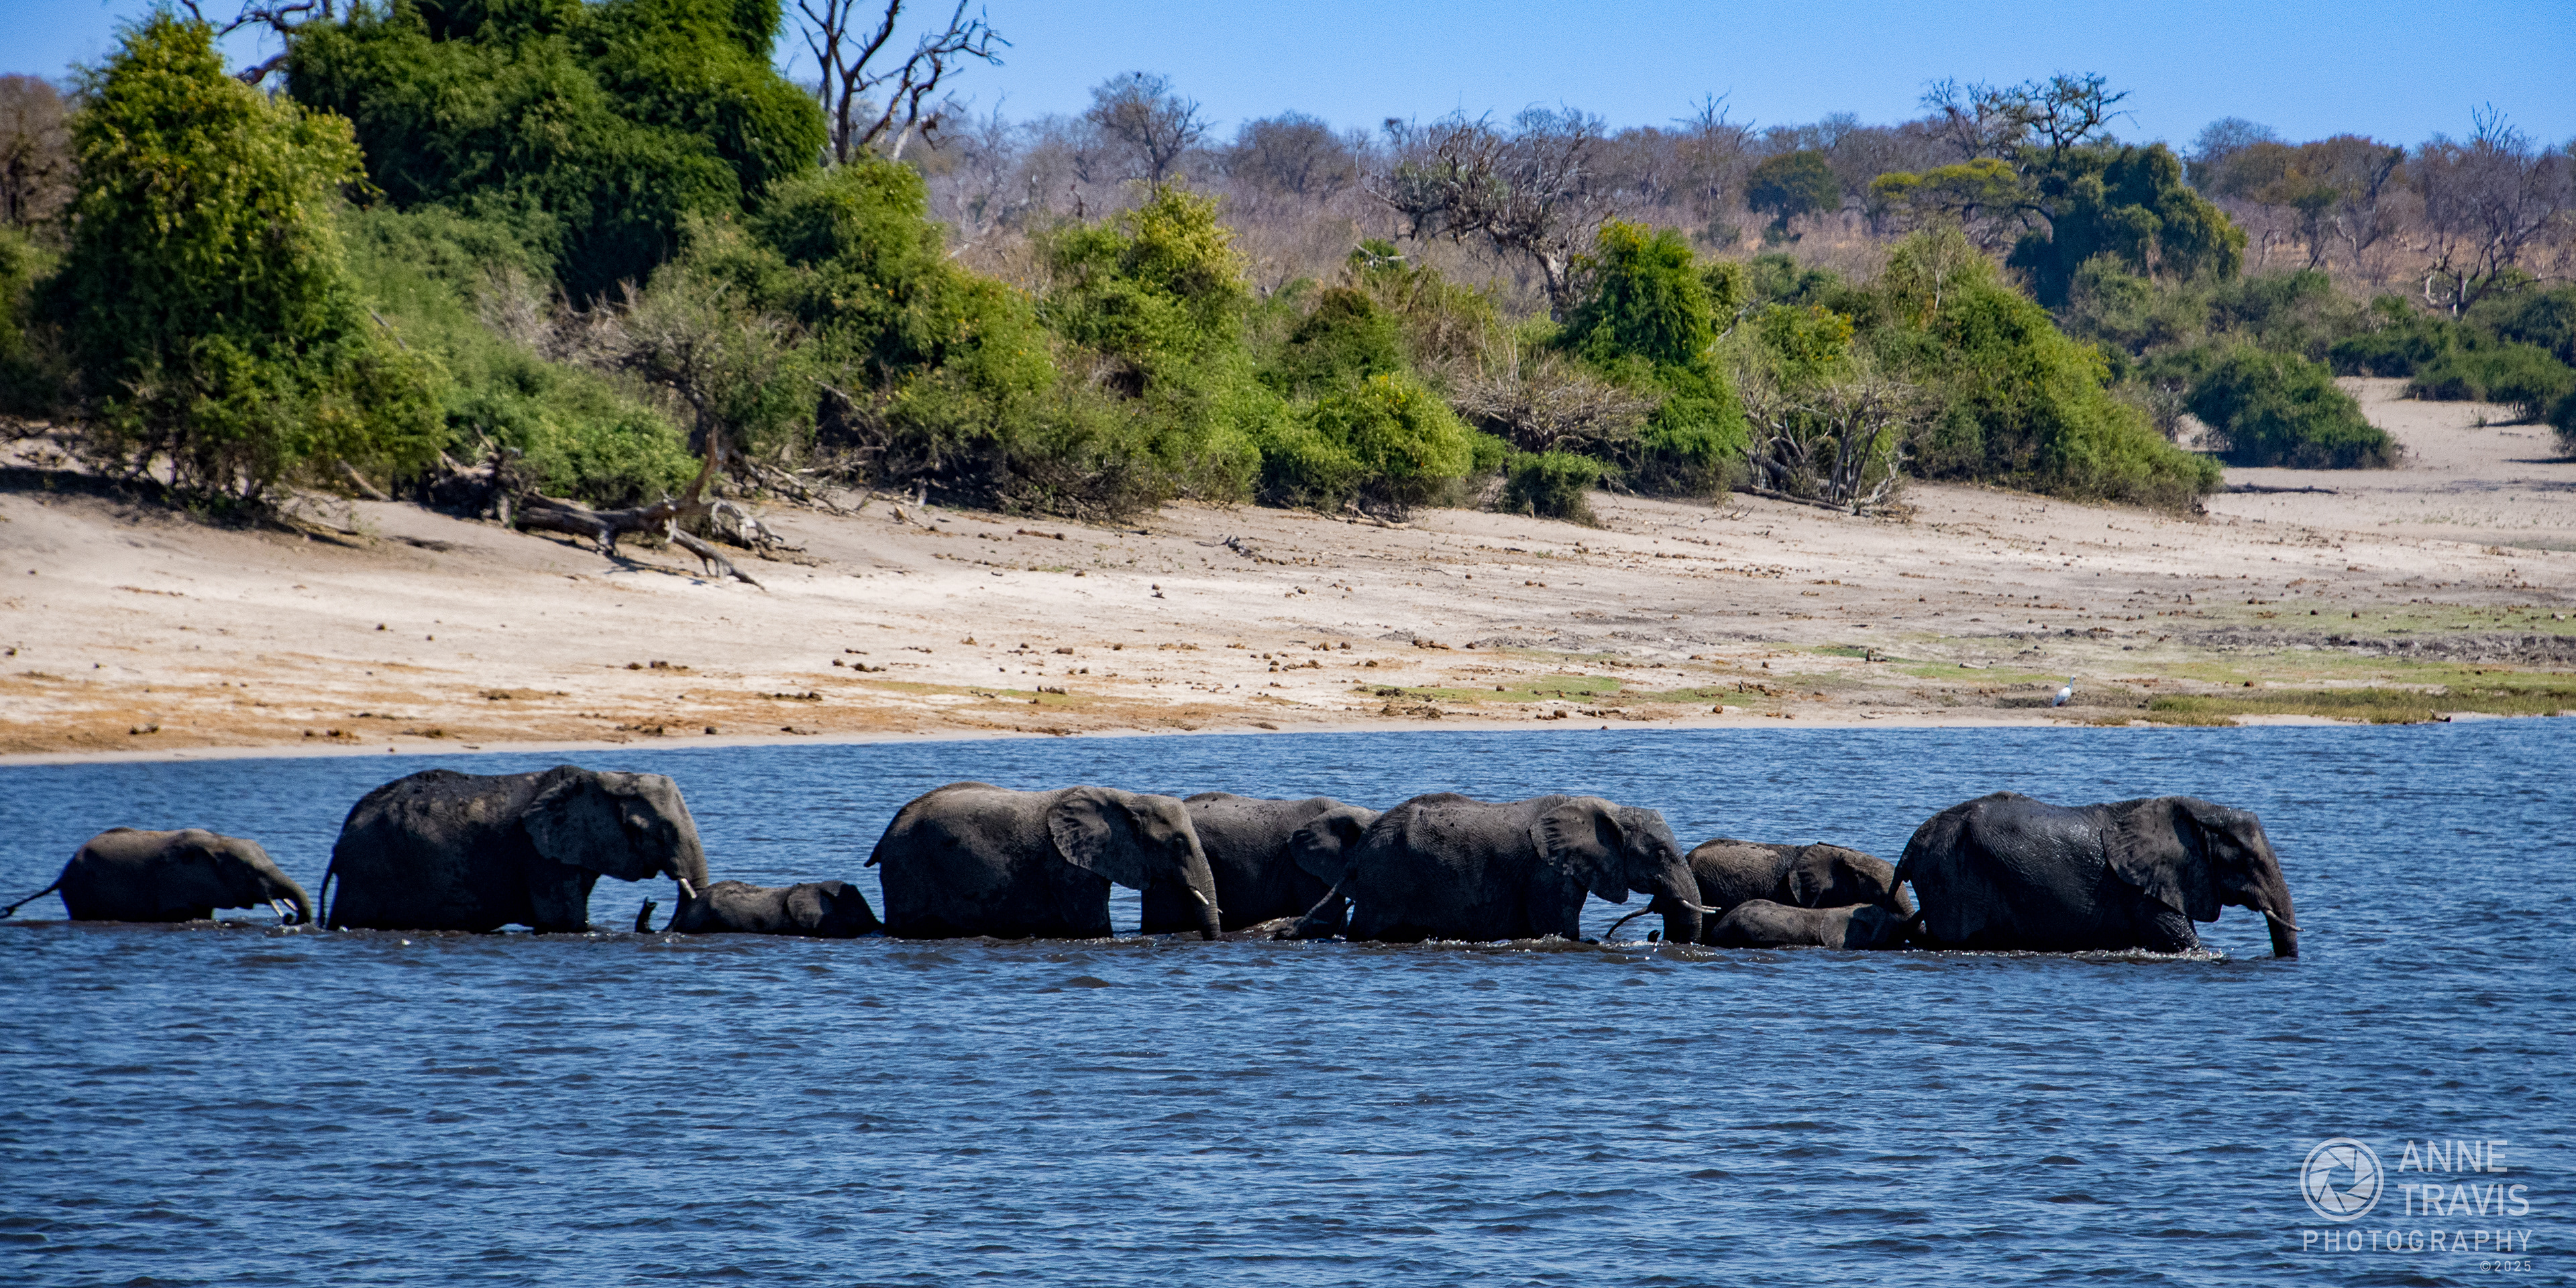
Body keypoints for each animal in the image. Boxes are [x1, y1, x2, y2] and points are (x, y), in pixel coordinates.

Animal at [2, 828, 311, 924]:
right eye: (250, 873)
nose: (289, 918)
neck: (218, 841)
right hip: (80, 891)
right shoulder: (175, 884)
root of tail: (62, 873)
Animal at [322, 766, 709, 933]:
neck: (605, 778)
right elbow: (563, 921)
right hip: (369, 871)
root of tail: (343, 833)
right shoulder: (537, 855)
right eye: (656, 832)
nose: (650, 905)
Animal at [867, 782, 1223, 940]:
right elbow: (1093, 923)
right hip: (908, 867)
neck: (1128, 799)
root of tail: (887, 833)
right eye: (1177, 842)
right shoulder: (1067, 868)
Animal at [1303, 793, 1714, 944]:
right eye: (1659, 853)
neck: (1608, 808)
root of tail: (1362, 848)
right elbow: (1559, 928)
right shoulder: (1546, 873)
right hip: (1387, 880)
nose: (1654, 936)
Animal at [1895, 791, 2300, 957]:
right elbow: (2184, 945)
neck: (2197, 811)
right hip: (1950, 878)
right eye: (2249, 861)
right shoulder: (2143, 891)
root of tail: (1912, 843)